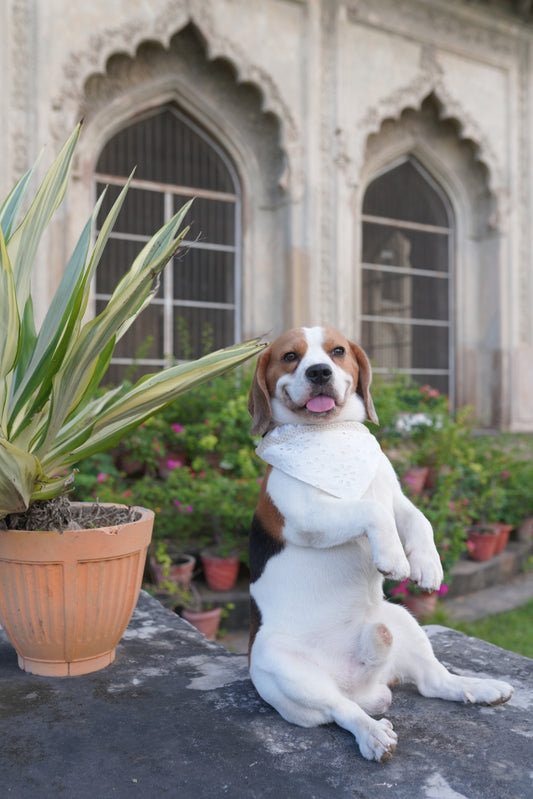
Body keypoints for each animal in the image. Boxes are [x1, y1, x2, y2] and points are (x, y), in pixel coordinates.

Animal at [245, 324, 512, 764]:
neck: (332, 434)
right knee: (341, 710)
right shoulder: (306, 516)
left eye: (337, 351)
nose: (319, 372)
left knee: (434, 682)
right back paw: (371, 733)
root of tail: (361, 686)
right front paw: (394, 558)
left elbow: (418, 519)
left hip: (402, 620)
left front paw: (427, 564)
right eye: (290, 357)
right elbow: (371, 512)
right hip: (280, 666)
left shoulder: (396, 496)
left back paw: (479, 687)